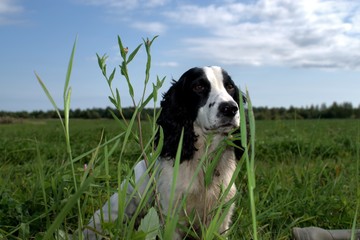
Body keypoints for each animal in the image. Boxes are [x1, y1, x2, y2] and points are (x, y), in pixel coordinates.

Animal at [83, 66, 246, 240]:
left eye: (230, 87)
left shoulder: (222, 214)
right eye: (198, 87)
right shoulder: (171, 214)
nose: (230, 108)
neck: (203, 161)